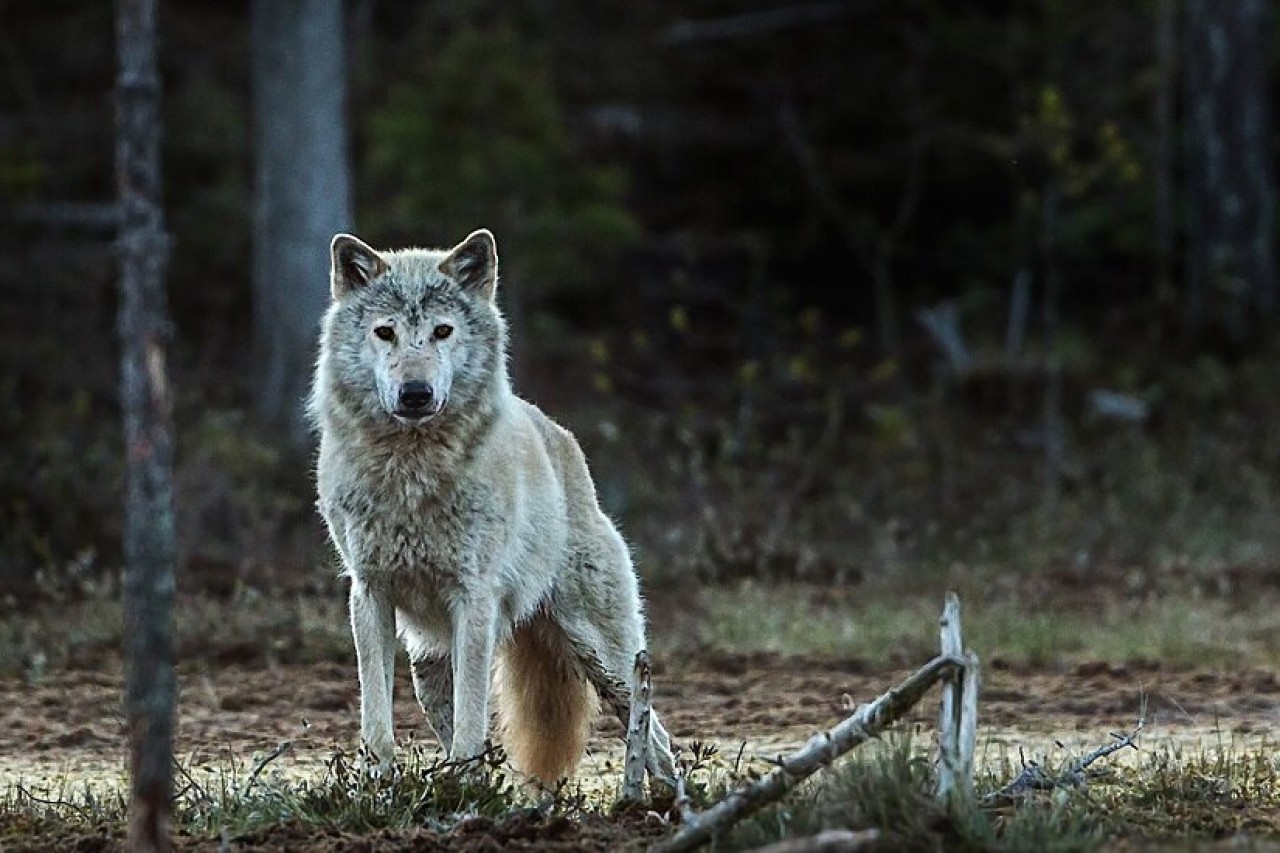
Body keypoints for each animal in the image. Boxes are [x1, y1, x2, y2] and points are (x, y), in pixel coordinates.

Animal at [309, 228, 677, 786]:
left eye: (442, 331)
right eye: (385, 333)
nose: (415, 393)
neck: (412, 474)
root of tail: (563, 438)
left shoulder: (474, 599)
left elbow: (473, 719)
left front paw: (463, 787)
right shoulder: (368, 595)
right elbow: (377, 721)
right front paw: (380, 788)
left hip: (605, 657)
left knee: (655, 735)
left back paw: (663, 800)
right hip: (429, 667)